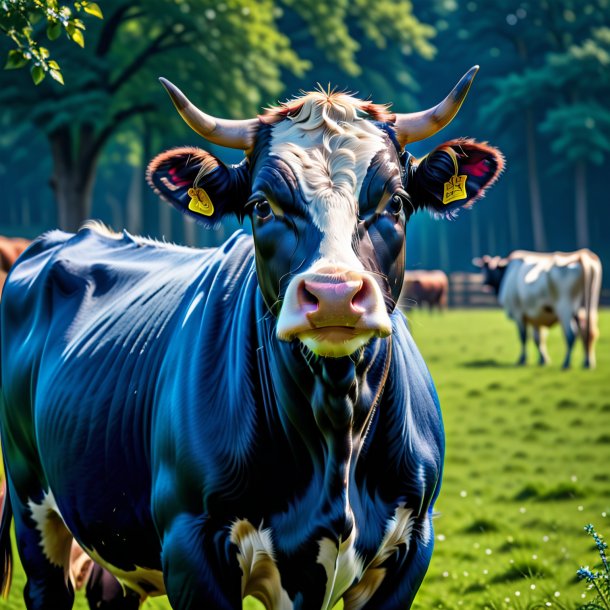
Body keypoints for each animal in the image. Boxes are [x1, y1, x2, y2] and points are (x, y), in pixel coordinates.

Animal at [0, 66, 502, 608]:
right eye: (262, 206)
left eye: (397, 202)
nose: (334, 294)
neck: (335, 427)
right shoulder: (191, 547)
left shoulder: (411, 547)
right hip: (30, 496)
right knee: (47, 586)